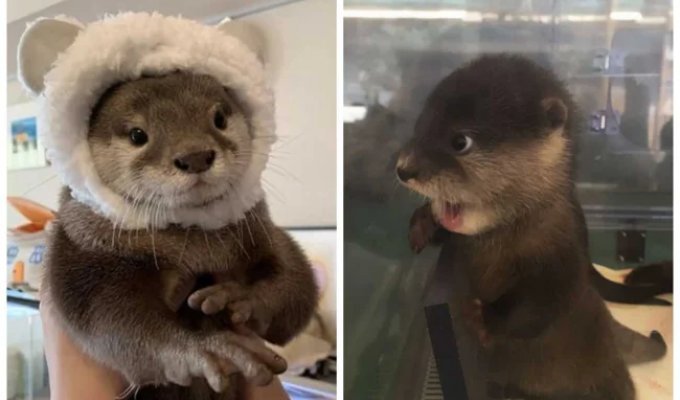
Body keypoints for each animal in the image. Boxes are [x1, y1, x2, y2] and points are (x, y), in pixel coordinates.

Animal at [44, 72, 318, 399]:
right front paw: (204, 349)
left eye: (219, 118)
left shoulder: (259, 229)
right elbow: (109, 317)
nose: (196, 156)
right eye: (137, 135)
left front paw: (243, 296)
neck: (192, 246)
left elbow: (296, 282)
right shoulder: (83, 246)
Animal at [398, 55, 665, 399]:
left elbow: (541, 306)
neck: (511, 239)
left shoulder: (563, 259)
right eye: (419, 128)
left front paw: (483, 317)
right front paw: (423, 223)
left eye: (460, 141)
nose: (403, 169)